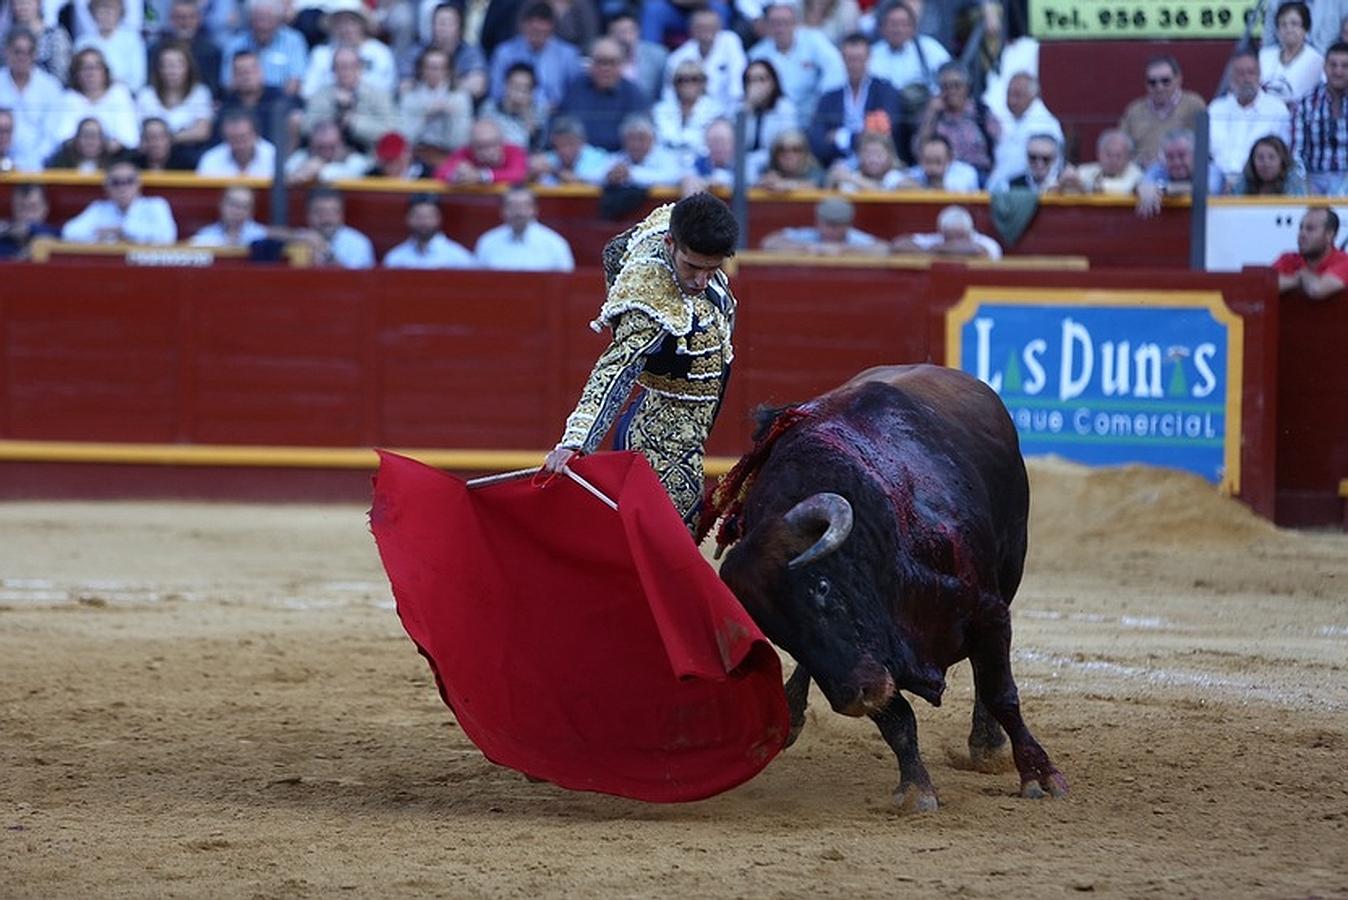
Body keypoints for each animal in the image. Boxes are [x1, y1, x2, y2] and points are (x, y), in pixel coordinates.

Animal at [711, 361, 1067, 813]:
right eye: (776, 634)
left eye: (822, 587)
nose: (853, 697)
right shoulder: (872, 664)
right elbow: (896, 720)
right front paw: (915, 789)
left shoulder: (989, 614)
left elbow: (1001, 692)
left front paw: (1039, 774)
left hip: (1012, 565)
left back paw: (987, 745)